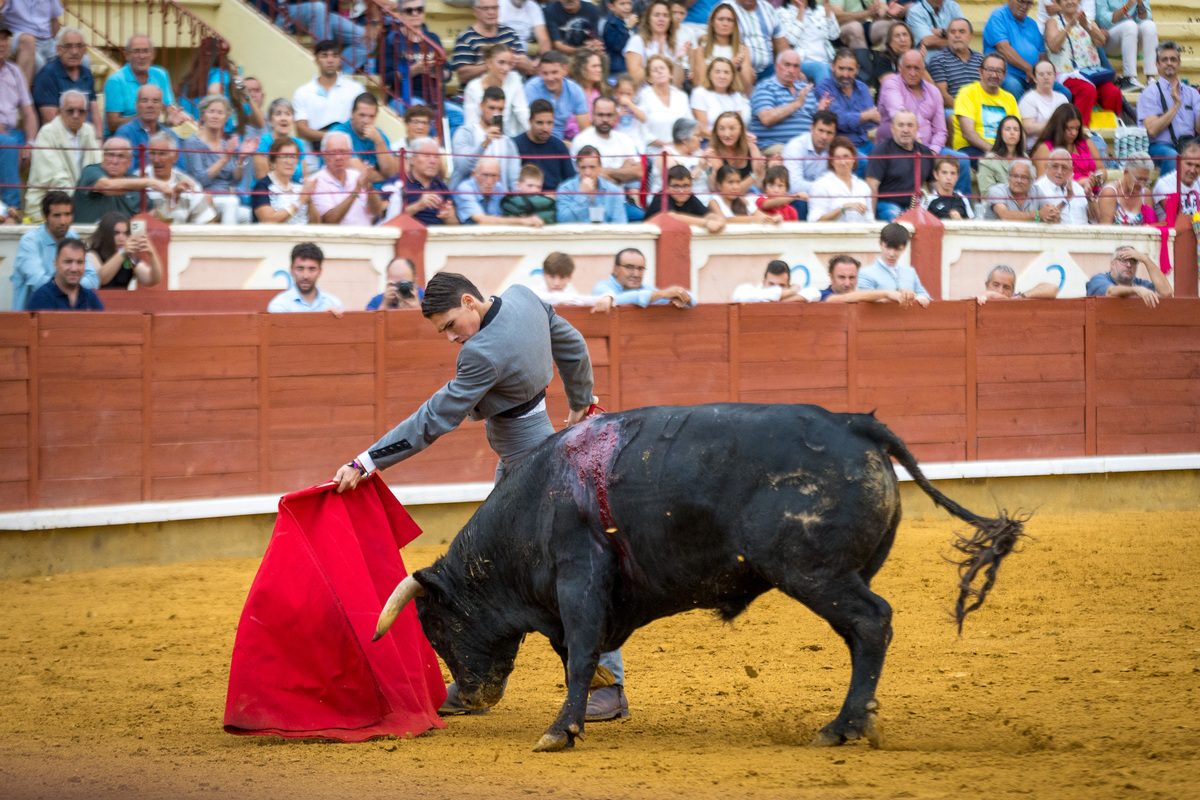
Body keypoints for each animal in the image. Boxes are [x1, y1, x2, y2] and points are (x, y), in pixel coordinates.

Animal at [372, 407, 1022, 753]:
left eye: (434, 627)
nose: (469, 698)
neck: (536, 498)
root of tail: (856, 424)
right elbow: (581, 656)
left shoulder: (579, 578)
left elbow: (579, 656)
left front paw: (559, 731)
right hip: (838, 575)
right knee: (863, 636)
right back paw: (855, 721)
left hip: (815, 572)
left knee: (872, 623)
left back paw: (840, 728)